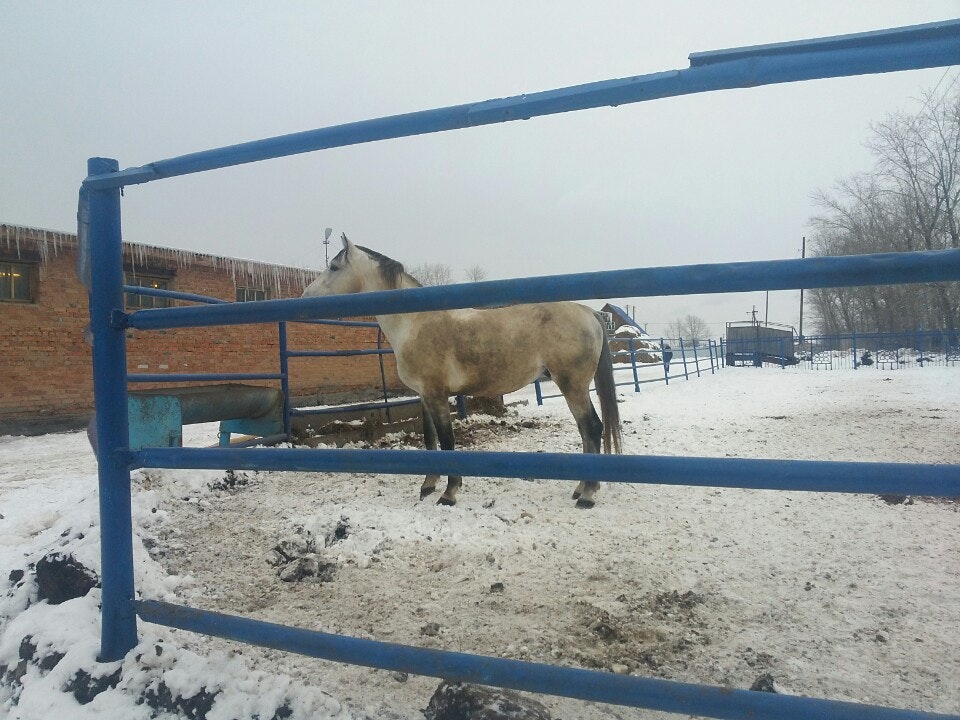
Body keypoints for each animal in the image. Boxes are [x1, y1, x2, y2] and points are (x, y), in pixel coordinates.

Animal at [302, 234, 622, 508]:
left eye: (334, 266)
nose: (305, 297)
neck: (415, 322)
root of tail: (589, 313)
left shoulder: (437, 395)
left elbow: (447, 441)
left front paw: (449, 492)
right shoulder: (424, 397)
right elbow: (430, 440)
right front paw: (428, 485)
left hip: (573, 386)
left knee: (592, 429)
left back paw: (587, 495)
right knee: (585, 432)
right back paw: (581, 488)